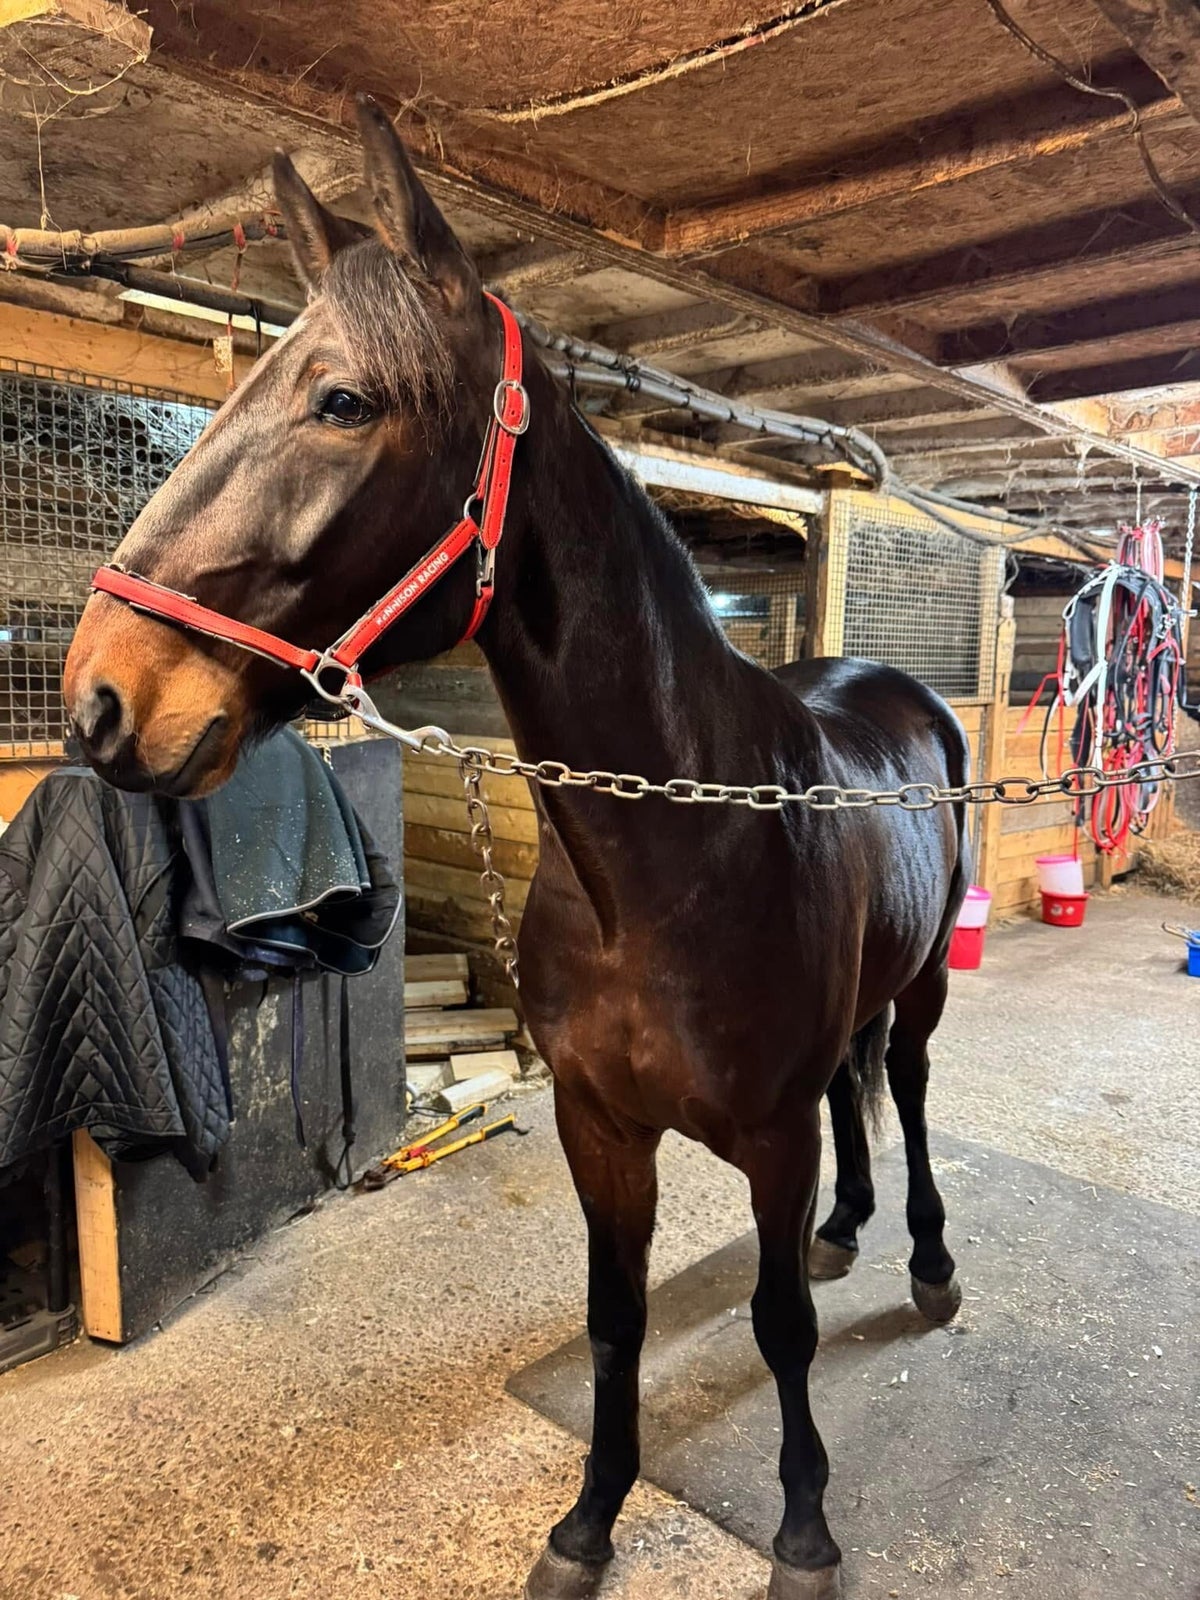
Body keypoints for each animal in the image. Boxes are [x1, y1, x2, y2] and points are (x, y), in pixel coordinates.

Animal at [64, 97, 968, 1600]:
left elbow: (777, 1324)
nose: (100, 701)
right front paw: (588, 1523)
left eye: (344, 401)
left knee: (897, 1083)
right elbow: (610, 1322)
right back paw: (852, 1229)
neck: (668, 864)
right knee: (858, 1093)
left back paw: (928, 1262)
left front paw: (803, 1527)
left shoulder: (767, 1130)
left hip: (929, 983)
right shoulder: (595, 1124)